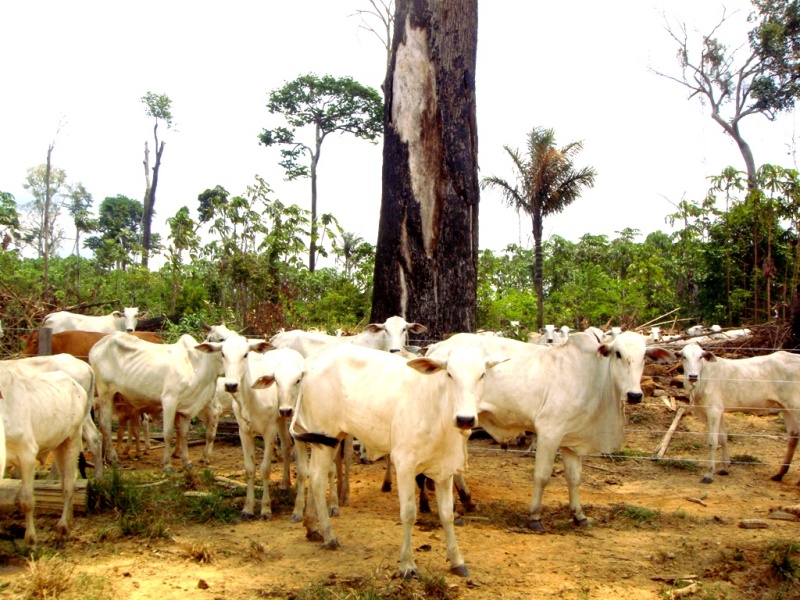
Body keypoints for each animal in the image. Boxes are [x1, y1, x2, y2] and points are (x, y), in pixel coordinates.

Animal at [0, 370, 90, 544]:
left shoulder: (27, 455)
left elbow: (26, 500)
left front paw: (31, 539)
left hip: (73, 438)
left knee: (69, 483)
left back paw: (62, 528)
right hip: (58, 445)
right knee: (64, 481)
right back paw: (69, 521)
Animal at [89, 332, 223, 468]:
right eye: (220, 343)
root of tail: (99, 344)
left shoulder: (186, 409)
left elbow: (184, 433)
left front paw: (187, 461)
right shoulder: (169, 402)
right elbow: (168, 433)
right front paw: (167, 465)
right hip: (105, 394)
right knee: (105, 425)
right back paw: (113, 458)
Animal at [292, 344, 506, 580]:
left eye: (482, 374)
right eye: (449, 374)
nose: (465, 419)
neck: (438, 410)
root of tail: (311, 364)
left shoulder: (445, 470)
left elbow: (447, 514)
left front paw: (456, 561)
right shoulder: (405, 465)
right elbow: (409, 513)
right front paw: (407, 565)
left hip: (330, 440)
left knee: (314, 475)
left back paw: (312, 527)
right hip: (324, 433)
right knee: (318, 478)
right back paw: (329, 535)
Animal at [424, 330, 668, 532]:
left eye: (644, 356)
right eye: (618, 353)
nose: (635, 395)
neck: (594, 377)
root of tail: (437, 346)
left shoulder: (571, 441)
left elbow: (574, 479)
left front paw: (579, 515)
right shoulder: (550, 432)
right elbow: (542, 476)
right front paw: (535, 517)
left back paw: (467, 500)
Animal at [680, 342, 800, 482]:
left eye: (700, 357)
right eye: (684, 357)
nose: (692, 376)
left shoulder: (713, 410)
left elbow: (713, 442)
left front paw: (709, 474)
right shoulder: (717, 411)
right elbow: (723, 438)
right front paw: (725, 468)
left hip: (795, 406)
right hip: (786, 407)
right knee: (793, 437)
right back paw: (779, 474)